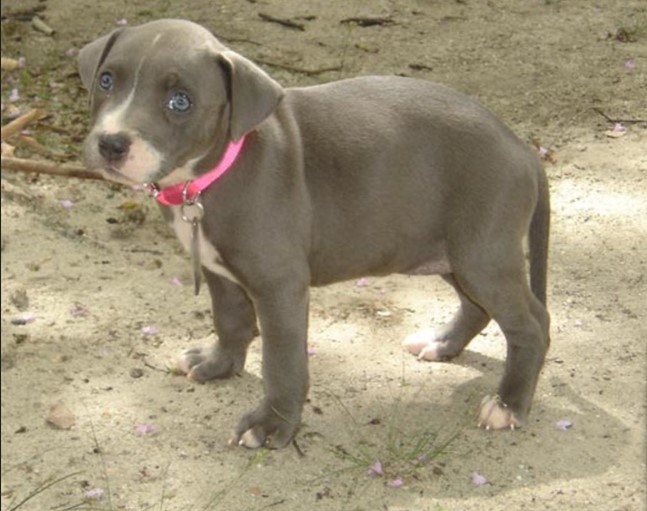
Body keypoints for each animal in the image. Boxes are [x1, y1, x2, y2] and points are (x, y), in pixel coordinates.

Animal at [77, 19, 552, 448]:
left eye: (180, 101)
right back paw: (441, 343)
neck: (211, 174)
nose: (111, 144)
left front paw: (271, 424)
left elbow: (282, 361)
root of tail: (521, 148)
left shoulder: (279, 285)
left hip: (482, 253)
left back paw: (508, 405)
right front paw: (218, 364)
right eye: (106, 79)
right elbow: (229, 319)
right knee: (480, 307)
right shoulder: (219, 270)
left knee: (532, 323)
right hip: (448, 249)